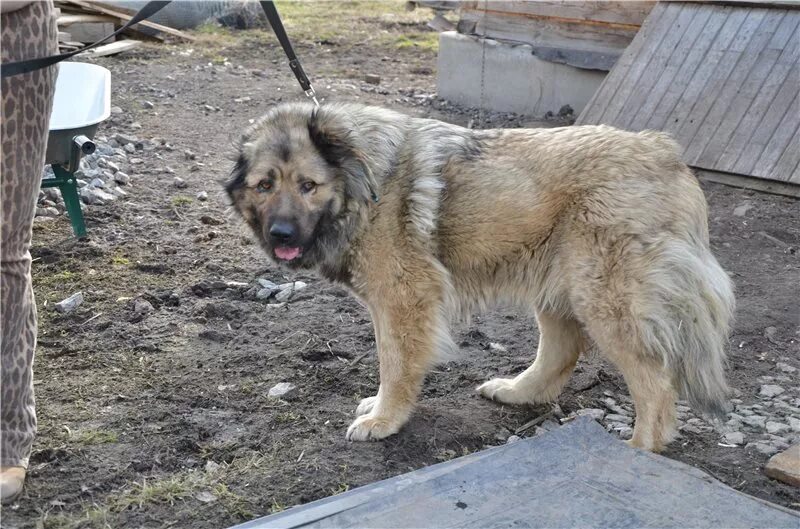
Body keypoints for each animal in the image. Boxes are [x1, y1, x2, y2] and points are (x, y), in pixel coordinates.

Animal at [223, 102, 732, 450]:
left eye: (308, 185)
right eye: (264, 185)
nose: (281, 233)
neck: (361, 184)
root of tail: (667, 154)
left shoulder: (403, 298)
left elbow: (395, 363)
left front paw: (385, 419)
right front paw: (379, 407)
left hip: (605, 299)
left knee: (655, 382)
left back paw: (639, 449)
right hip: (558, 285)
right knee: (562, 352)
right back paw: (517, 392)